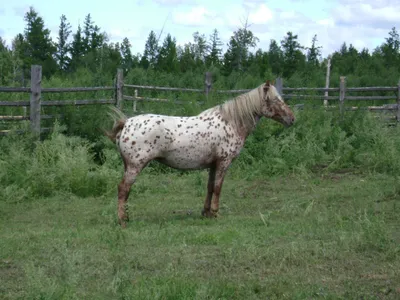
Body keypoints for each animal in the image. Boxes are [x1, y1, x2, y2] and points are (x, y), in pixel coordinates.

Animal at [105, 79, 294, 227]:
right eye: (274, 99)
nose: (292, 119)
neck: (231, 122)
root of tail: (127, 123)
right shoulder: (223, 163)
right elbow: (218, 188)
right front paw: (216, 213)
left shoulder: (213, 165)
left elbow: (210, 187)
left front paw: (206, 213)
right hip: (135, 166)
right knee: (123, 189)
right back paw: (122, 221)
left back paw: (126, 217)